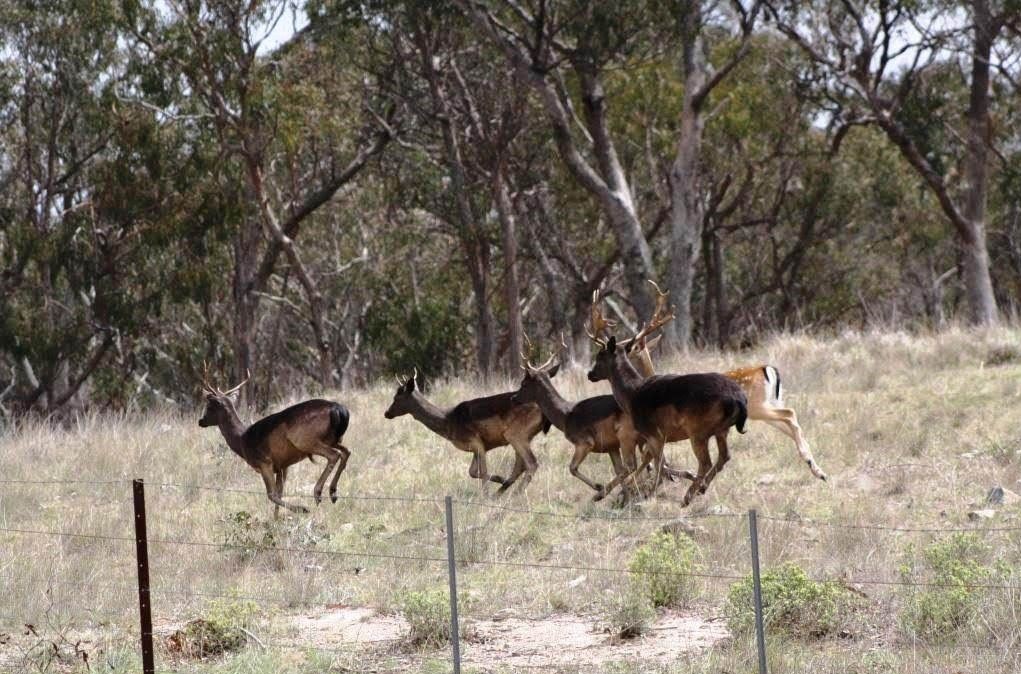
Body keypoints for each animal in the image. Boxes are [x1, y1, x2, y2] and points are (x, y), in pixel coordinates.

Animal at [197, 371, 353, 512]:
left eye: (209, 406)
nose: (201, 421)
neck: (242, 441)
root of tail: (339, 409)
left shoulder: (264, 462)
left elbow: (271, 495)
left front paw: (302, 509)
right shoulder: (282, 466)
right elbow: (279, 494)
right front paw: (276, 521)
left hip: (306, 440)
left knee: (334, 455)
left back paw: (318, 492)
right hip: (333, 439)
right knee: (346, 451)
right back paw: (332, 492)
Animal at [381, 367, 547, 494]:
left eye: (397, 397)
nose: (387, 413)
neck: (448, 423)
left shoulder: (475, 441)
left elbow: (482, 471)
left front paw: (486, 494)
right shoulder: (479, 446)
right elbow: (472, 472)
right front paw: (500, 479)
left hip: (515, 434)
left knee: (531, 463)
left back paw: (514, 493)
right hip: (525, 436)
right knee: (521, 464)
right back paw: (503, 489)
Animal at [588, 294, 747, 506]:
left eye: (600, 355)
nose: (590, 374)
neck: (631, 396)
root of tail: (739, 399)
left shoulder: (654, 433)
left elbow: (658, 466)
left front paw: (643, 494)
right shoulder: (658, 437)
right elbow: (659, 465)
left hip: (698, 430)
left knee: (706, 462)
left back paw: (688, 497)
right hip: (722, 429)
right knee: (724, 456)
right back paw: (701, 488)